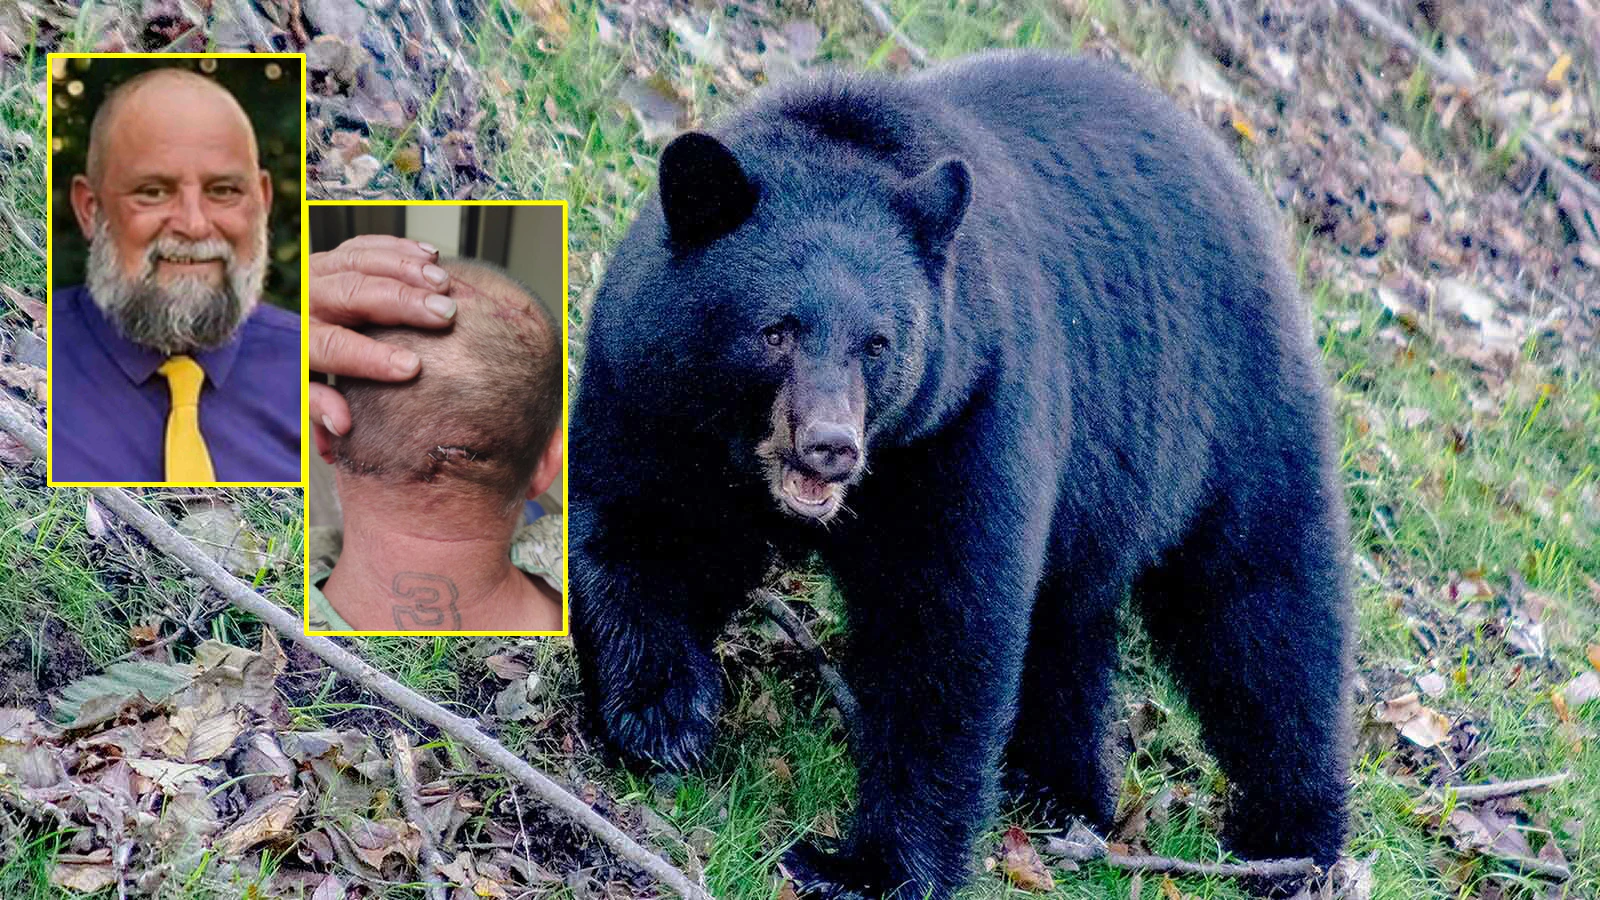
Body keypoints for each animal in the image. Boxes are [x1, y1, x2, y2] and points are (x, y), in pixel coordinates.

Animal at [569, 50, 1352, 900]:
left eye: (878, 343)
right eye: (775, 330)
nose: (831, 446)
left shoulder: (967, 415)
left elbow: (944, 631)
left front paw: (864, 868)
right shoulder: (653, 389)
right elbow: (642, 526)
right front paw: (661, 714)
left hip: (1233, 419)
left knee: (1265, 619)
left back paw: (1293, 843)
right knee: (1070, 620)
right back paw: (1056, 786)